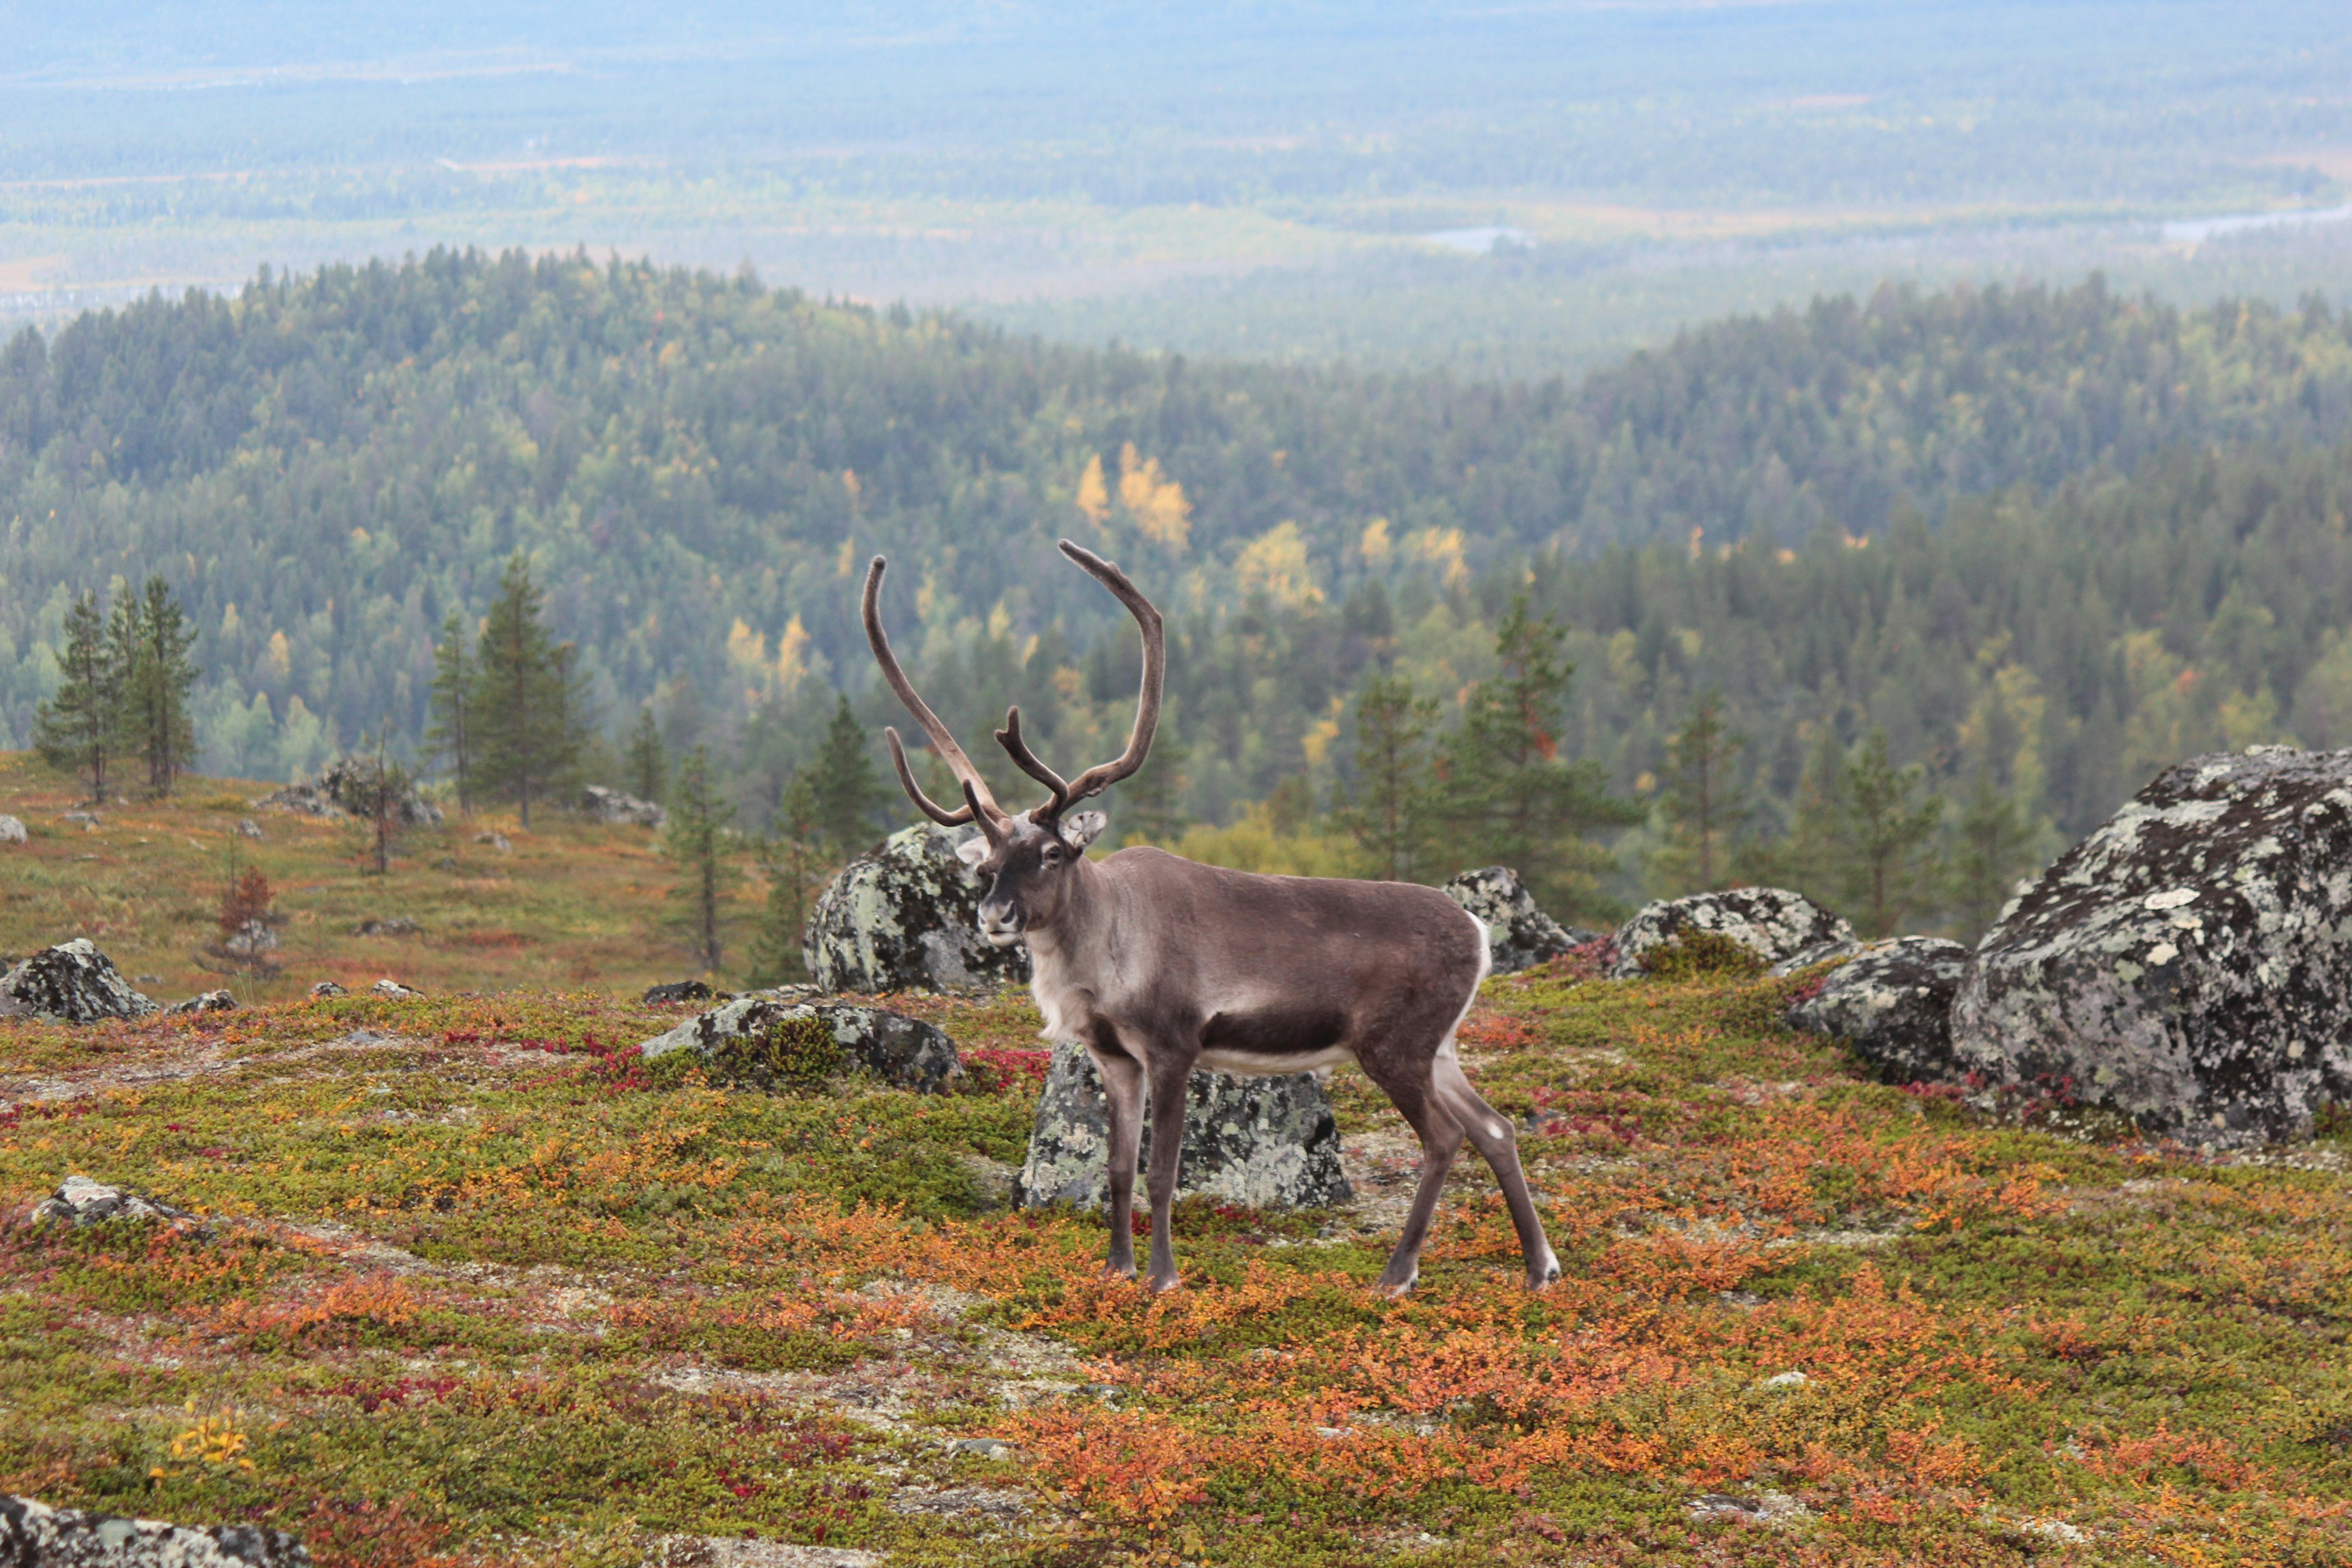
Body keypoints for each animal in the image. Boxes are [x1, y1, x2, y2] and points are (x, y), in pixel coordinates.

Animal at [862, 540, 1561, 1297]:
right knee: (1496, 1128)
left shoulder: (1174, 1044)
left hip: (1395, 1045)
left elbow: (1162, 1172)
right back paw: (1539, 1268)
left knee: (1445, 1137)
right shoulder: (1113, 1055)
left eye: (1051, 852)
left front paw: (1162, 1276)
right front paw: (1114, 1268)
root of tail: (1481, 933)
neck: (1101, 956)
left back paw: (1397, 1274)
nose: (995, 914)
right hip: (1441, 1047)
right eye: (985, 864)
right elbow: (1116, 1169)